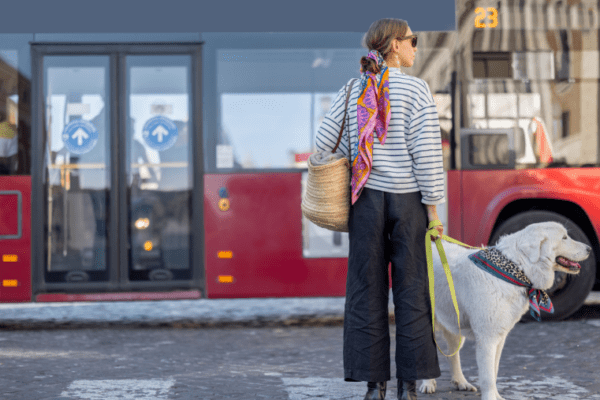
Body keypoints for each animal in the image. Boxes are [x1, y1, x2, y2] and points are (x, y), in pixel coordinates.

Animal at [422, 222, 592, 400]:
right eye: (564, 238)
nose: (589, 249)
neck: (516, 270)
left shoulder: (499, 337)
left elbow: (494, 371)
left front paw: (497, 396)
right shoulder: (487, 339)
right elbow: (488, 376)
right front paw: (490, 396)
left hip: (455, 326)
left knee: (453, 355)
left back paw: (460, 382)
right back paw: (428, 384)